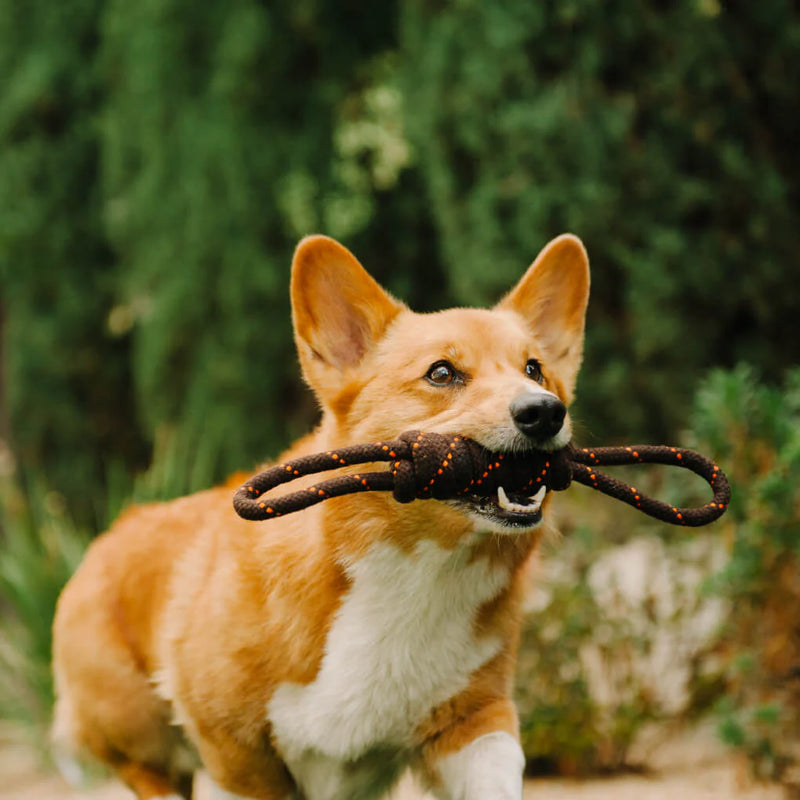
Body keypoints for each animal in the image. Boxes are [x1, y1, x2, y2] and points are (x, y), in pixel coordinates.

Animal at [50, 233, 588, 800]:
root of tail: (110, 533)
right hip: (136, 731)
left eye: (534, 369)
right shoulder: (237, 758)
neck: (416, 574)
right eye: (441, 372)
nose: (545, 411)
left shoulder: (474, 722)